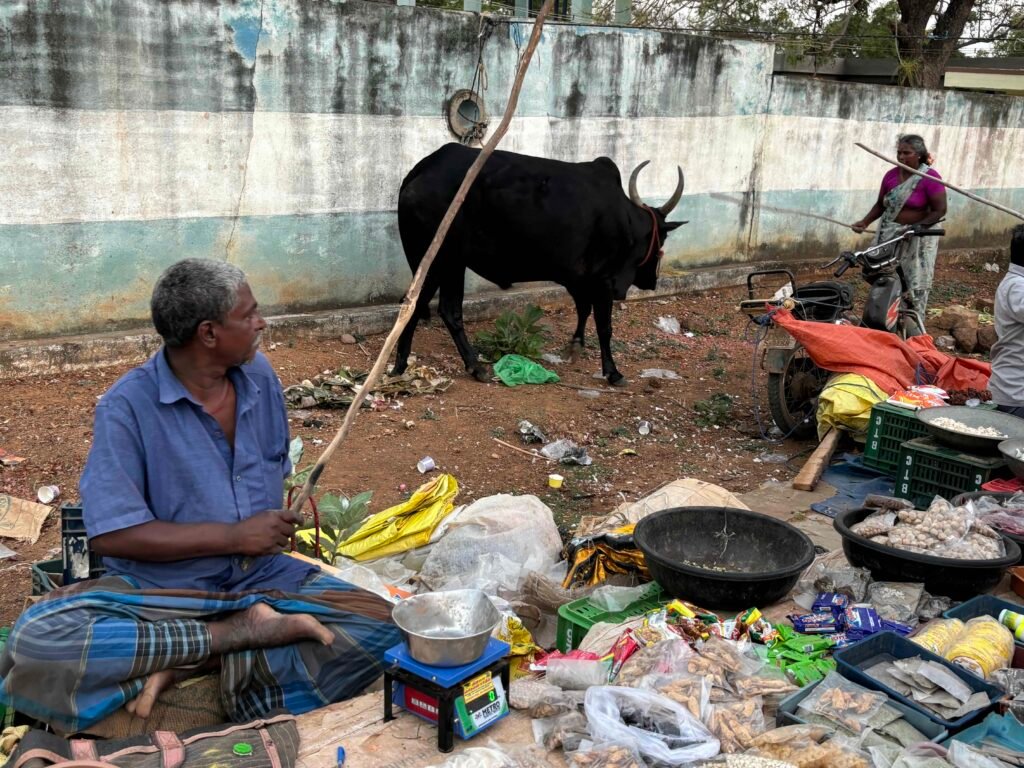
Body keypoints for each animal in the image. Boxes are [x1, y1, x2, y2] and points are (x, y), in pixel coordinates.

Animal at [391, 142, 686, 386]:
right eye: (662, 238)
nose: (652, 281)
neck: (626, 219)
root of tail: (419, 171)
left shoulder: (577, 277)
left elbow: (583, 309)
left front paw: (576, 346)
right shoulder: (602, 280)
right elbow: (604, 327)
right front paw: (613, 372)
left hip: (446, 264)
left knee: (431, 308)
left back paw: (436, 366)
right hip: (441, 261)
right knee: (430, 308)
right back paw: (433, 366)